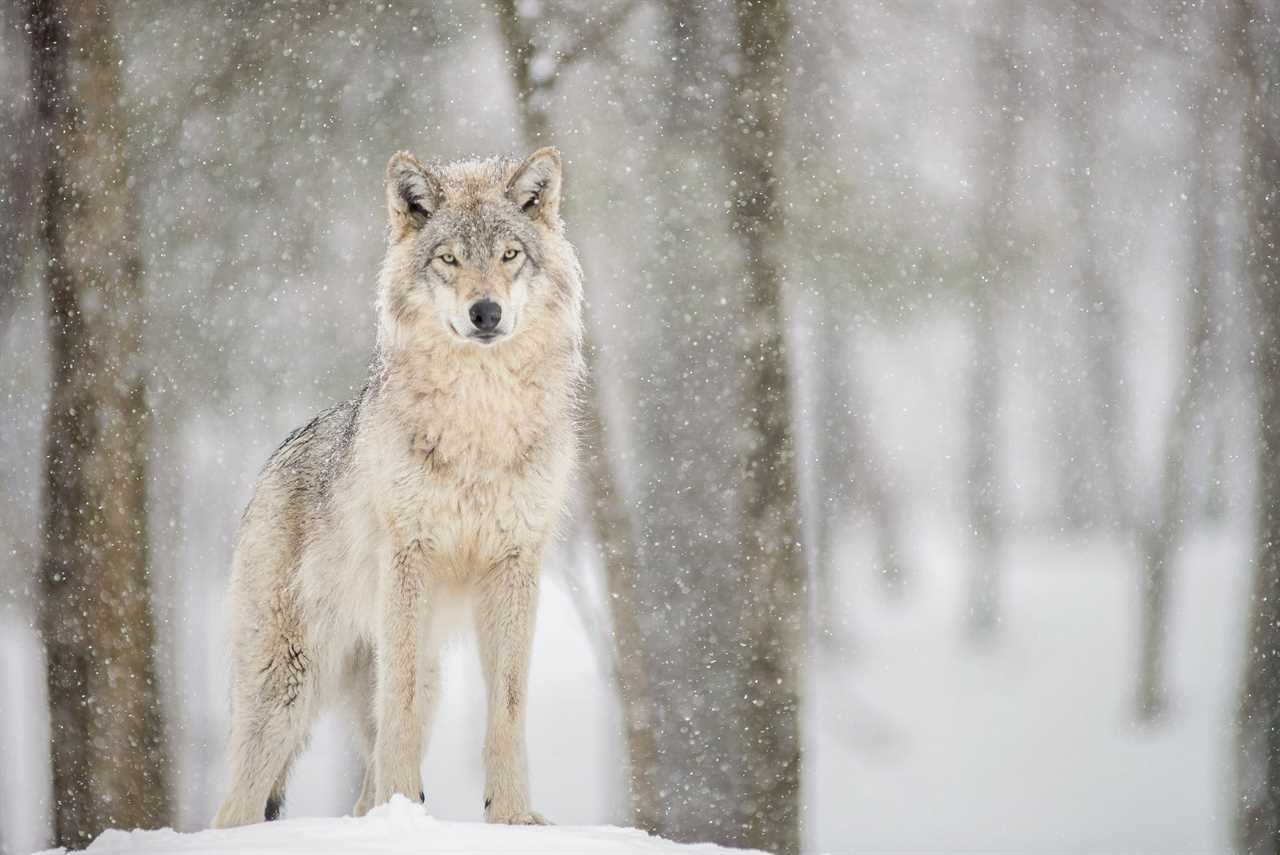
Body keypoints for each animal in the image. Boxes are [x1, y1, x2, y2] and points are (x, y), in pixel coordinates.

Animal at [211, 147, 586, 829]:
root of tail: (267, 469)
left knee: (363, 780)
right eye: (450, 259)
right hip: (287, 689)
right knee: (238, 805)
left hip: (412, 673)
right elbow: (400, 706)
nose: (485, 312)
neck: (479, 424)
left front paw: (513, 816)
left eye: (509, 255)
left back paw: (380, 817)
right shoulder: (409, 558)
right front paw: (408, 803)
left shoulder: (517, 564)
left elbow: (509, 706)